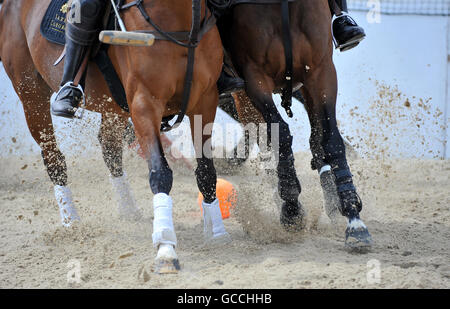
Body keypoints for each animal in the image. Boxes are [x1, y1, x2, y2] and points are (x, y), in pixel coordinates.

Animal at [0, 0, 229, 270]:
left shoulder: (205, 100)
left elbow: (206, 172)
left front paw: (217, 231)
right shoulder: (144, 104)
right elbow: (160, 174)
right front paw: (165, 246)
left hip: (113, 105)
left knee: (108, 148)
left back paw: (128, 210)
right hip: (30, 94)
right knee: (53, 157)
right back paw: (71, 221)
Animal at [215, 0, 372, 247]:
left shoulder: (321, 72)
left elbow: (330, 141)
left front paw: (353, 217)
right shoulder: (254, 78)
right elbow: (280, 135)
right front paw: (291, 208)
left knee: (314, 139)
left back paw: (333, 204)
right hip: (242, 94)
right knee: (264, 140)